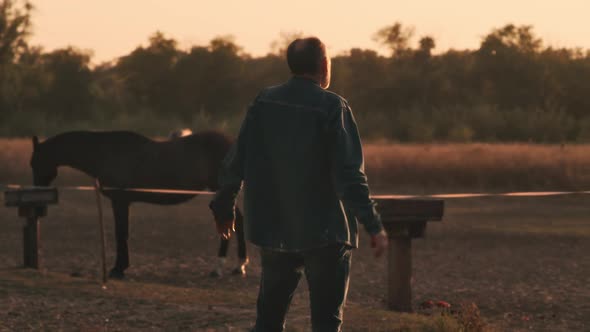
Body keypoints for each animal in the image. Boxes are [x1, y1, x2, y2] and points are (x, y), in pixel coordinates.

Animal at [30, 131, 247, 278]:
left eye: (35, 162)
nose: (37, 198)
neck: (106, 152)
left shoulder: (120, 202)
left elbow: (121, 234)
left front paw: (117, 269)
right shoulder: (123, 203)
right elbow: (123, 233)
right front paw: (121, 267)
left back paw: (221, 267)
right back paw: (237, 266)